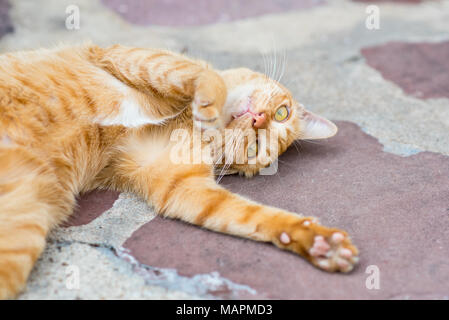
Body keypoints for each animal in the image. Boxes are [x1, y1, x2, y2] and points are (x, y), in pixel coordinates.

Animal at [0, 43, 356, 298]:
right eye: (283, 113)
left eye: (255, 147)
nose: (258, 120)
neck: (184, 121)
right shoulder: (129, 56)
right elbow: (201, 74)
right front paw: (209, 100)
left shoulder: (182, 186)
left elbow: (254, 216)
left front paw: (317, 241)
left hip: (22, 228)